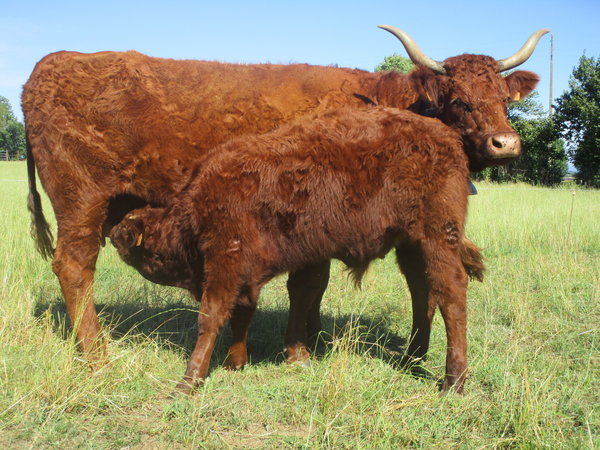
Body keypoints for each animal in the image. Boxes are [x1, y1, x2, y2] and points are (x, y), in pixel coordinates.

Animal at [23, 25, 548, 362]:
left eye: (504, 99)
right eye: (458, 100)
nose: (505, 143)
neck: (385, 104)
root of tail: (51, 64)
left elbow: (415, 284)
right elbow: (309, 285)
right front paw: (299, 349)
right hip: (81, 203)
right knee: (74, 267)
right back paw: (95, 352)